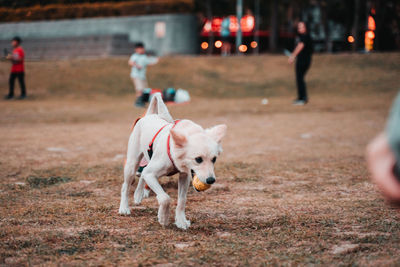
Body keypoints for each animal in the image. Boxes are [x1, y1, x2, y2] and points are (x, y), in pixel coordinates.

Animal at [117, 92, 227, 230]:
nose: (211, 180)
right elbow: (165, 198)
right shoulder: (151, 174)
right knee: (125, 186)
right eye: (198, 159)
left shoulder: (184, 176)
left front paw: (181, 221)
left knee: (142, 174)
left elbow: (182, 200)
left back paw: (138, 194)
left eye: (214, 159)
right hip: (132, 164)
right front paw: (163, 218)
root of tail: (149, 115)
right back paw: (124, 208)